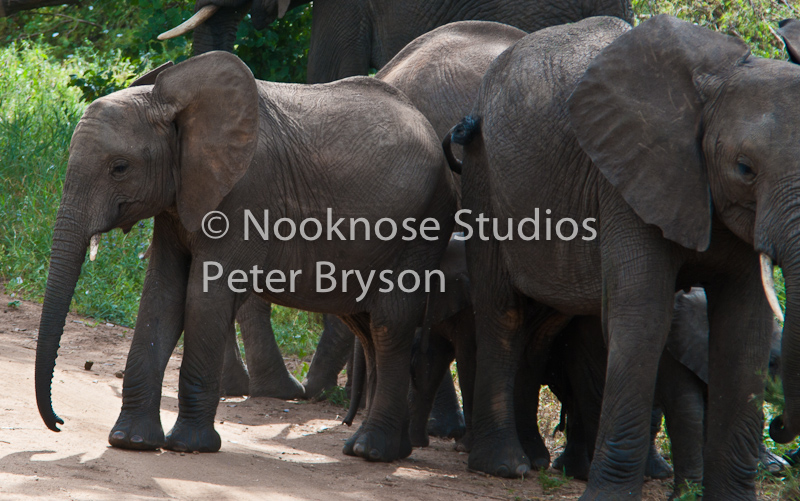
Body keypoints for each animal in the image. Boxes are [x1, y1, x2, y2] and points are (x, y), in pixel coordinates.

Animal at [35, 50, 456, 462]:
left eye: (119, 168)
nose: (59, 423)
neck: (170, 101)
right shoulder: (181, 198)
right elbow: (161, 296)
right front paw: (131, 441)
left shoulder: (244, 195)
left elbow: (204, 299)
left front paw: (189, 446)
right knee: (368, 327)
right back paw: (384, 450)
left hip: (423, 225)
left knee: (390, 323)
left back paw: (372, 451)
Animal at [445, 14, 797, 500]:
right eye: (744, 169)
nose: (781, 427)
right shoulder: (625, 182)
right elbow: (643, 317)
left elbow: (744, 329)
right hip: (486, 178)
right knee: (504, 311)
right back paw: (504, 467)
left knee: (543, 325)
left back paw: (532, 460)